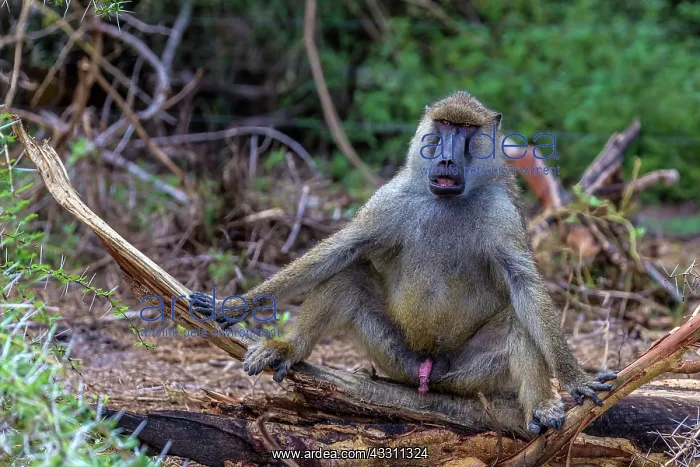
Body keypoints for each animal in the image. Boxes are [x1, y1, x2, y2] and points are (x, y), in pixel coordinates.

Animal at [189, 91, 616, 434]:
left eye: (465, 132)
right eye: (442, 127)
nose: (446, 158)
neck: (448, 202)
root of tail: (426, 371)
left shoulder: (502, 214)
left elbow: (524, 286)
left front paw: (576, 380)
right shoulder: (390, 199)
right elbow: (342, 249)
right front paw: (233, 305)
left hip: (468, 376)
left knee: (518, 322)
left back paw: (541, 407)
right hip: (394, 357)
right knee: (348, 278)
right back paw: (287, 349)